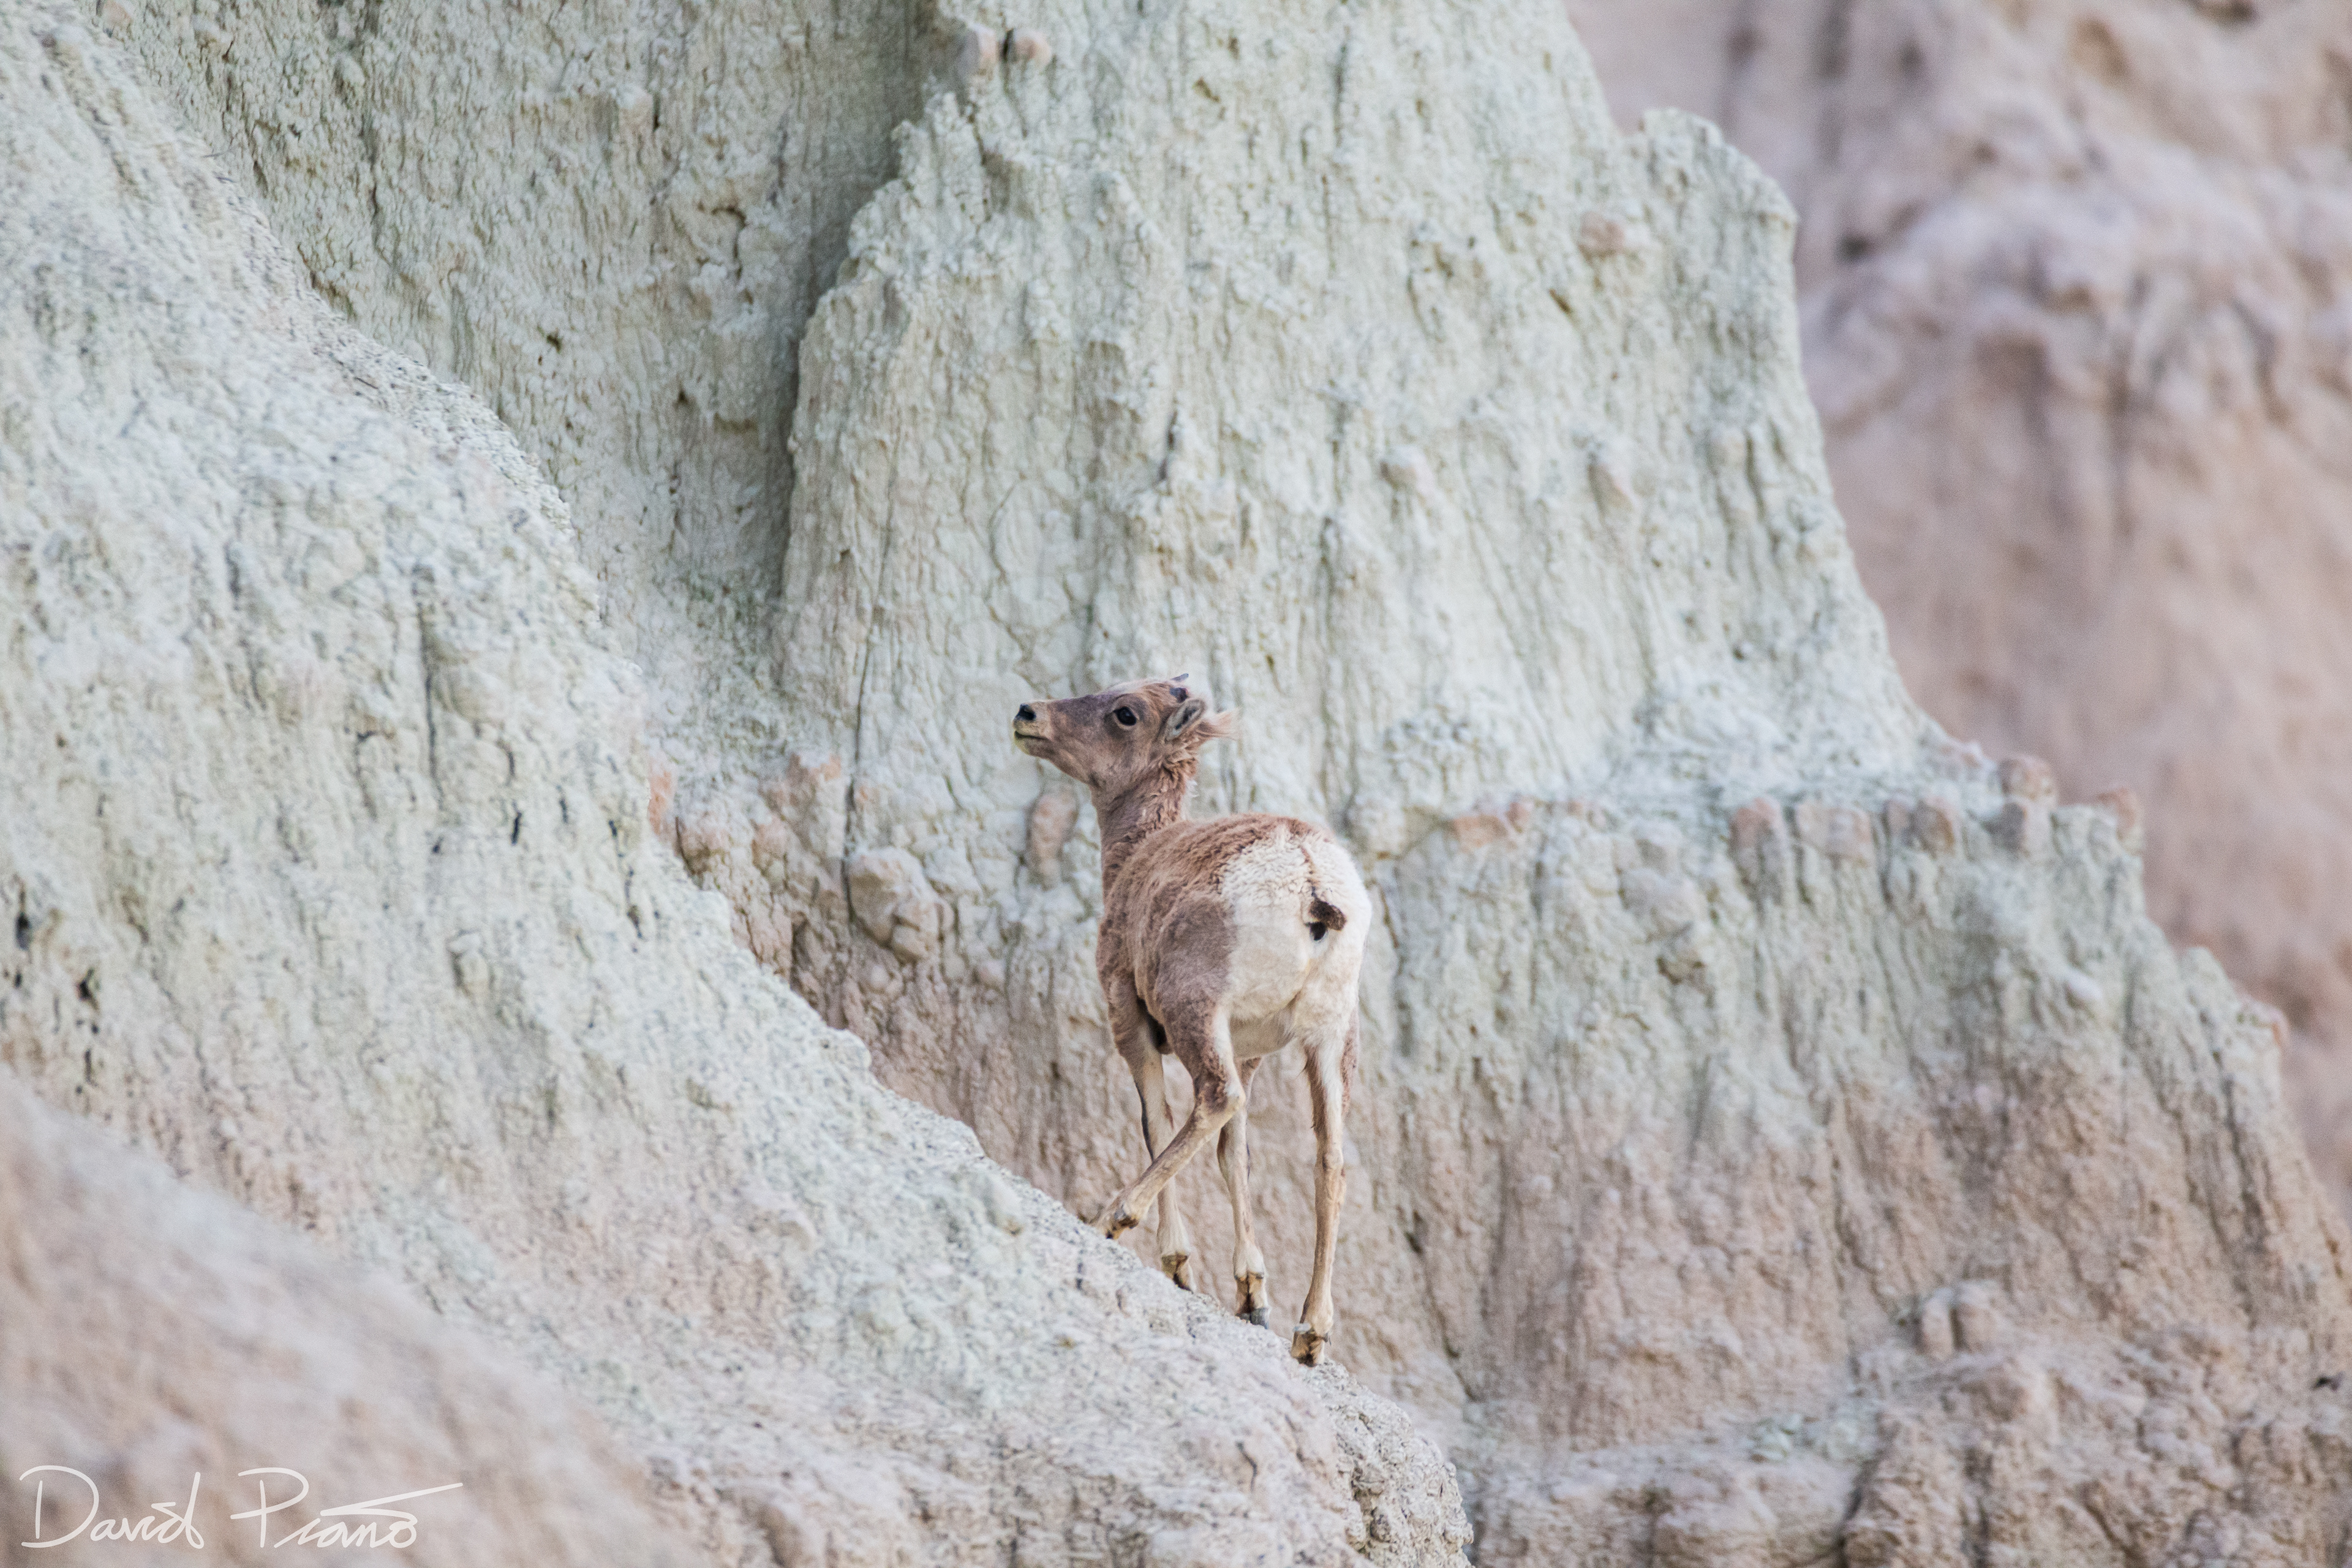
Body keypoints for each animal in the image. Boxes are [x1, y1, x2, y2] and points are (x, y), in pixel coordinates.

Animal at [1013, 674, 1367, 1365]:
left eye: (1125, 712)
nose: (1028, 714)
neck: (1136, 860)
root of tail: (1311, 881)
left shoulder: (1132, 1022)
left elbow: (1157, 1120)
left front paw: (1178, 1265)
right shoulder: (1251, 1050)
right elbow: (1238, 1156)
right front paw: (1253, 1297)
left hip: (1194, 1013)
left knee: (1213, 1099)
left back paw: (1110, 1216)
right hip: (1329, 1043)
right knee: (1330, 1158)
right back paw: (1310, 1334)